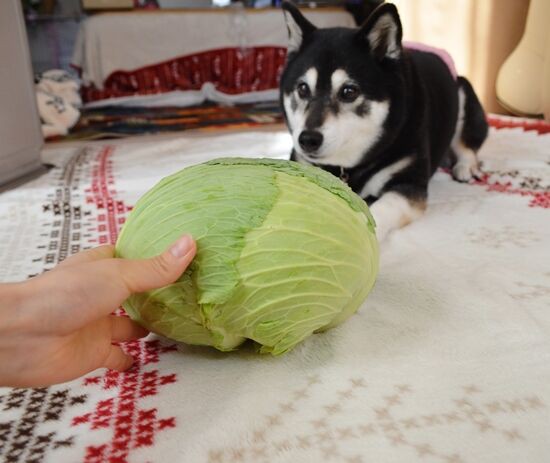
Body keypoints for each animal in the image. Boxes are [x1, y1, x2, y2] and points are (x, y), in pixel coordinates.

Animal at [282, 2, 490, 243]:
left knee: (466, 145)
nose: (308, 139)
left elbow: (379, 211)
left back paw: (465, 167)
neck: (347, 167)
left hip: (463, 94)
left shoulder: (408, 186)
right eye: (302, 88)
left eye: (349, 92)